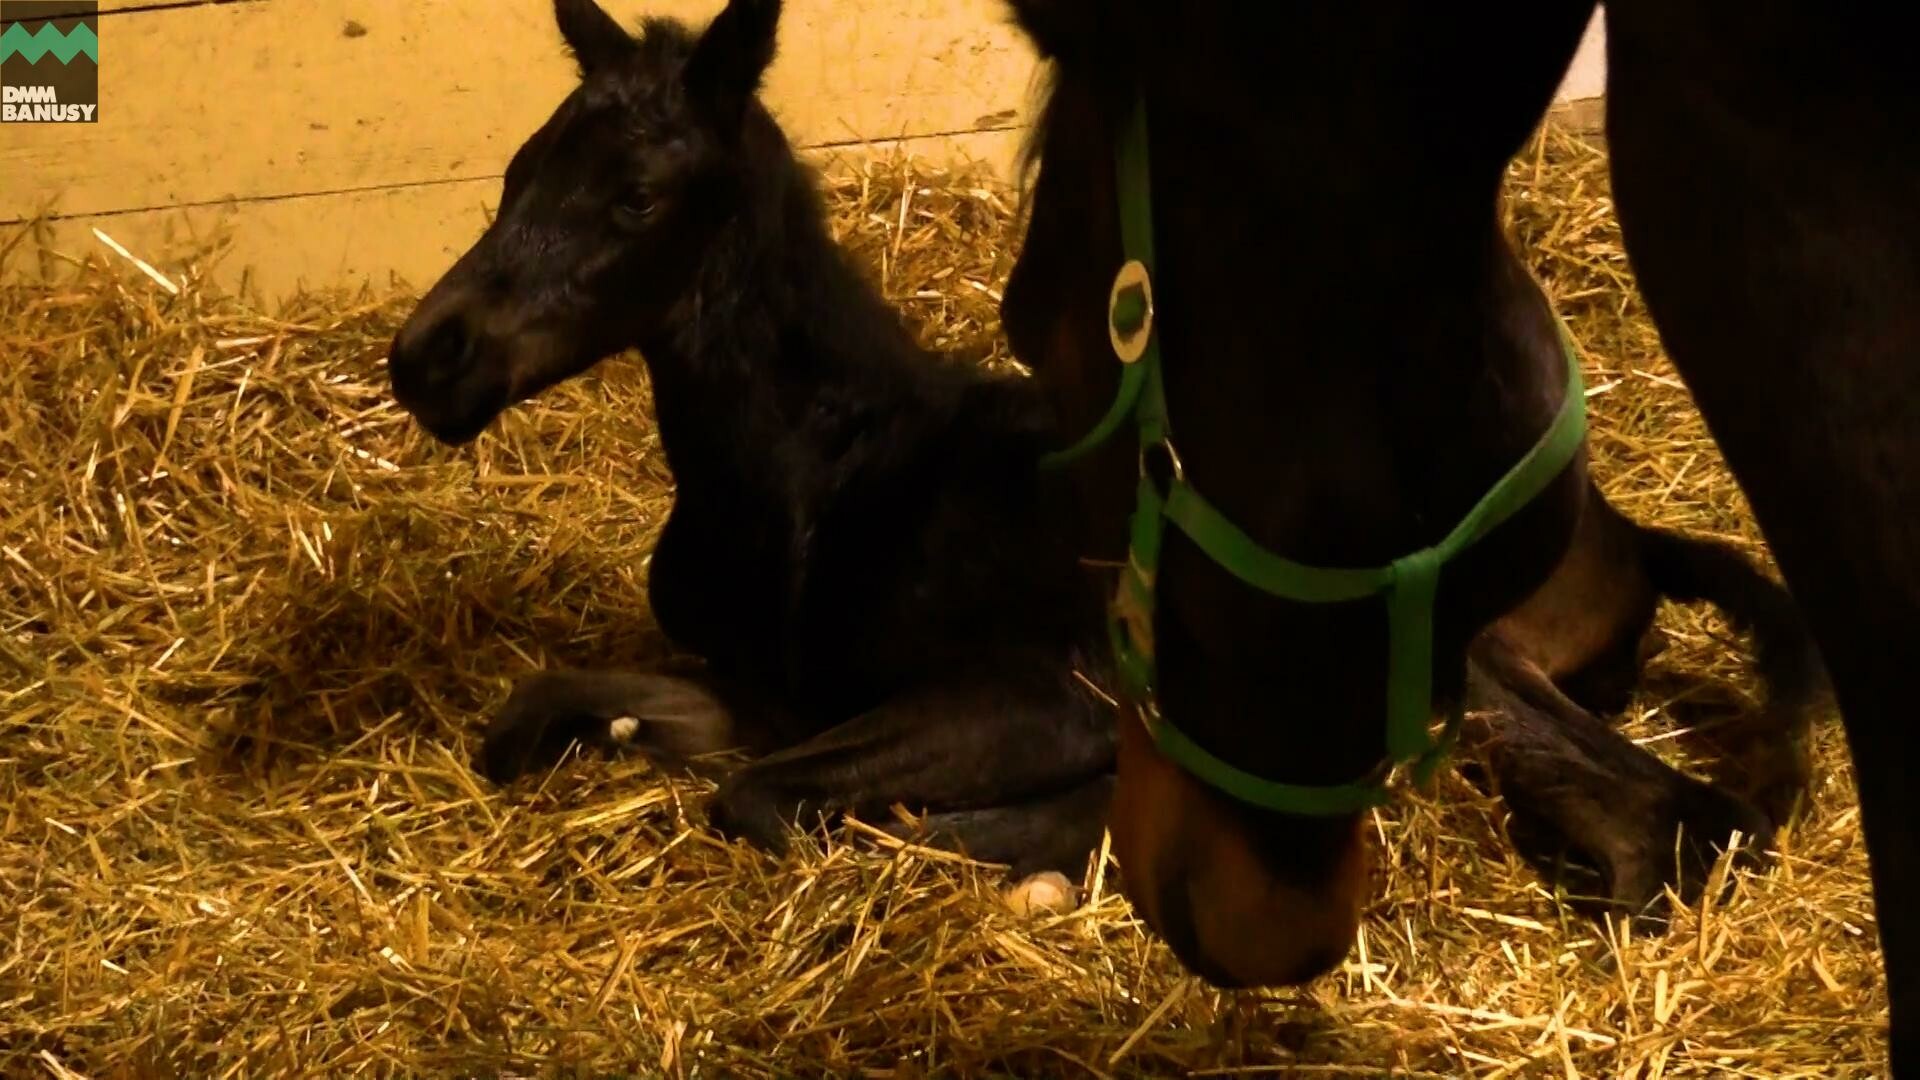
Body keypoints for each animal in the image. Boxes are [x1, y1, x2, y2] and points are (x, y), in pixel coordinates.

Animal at [378, 0, 1827, 907]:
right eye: (514, 174)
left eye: (635, 198)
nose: (427, 359)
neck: (812, 469)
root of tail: (1625, 533)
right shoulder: (763, 690)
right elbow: (554, 712)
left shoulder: (1040, 690)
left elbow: (765, 799)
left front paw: (1048, 848)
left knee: (1679, 820)